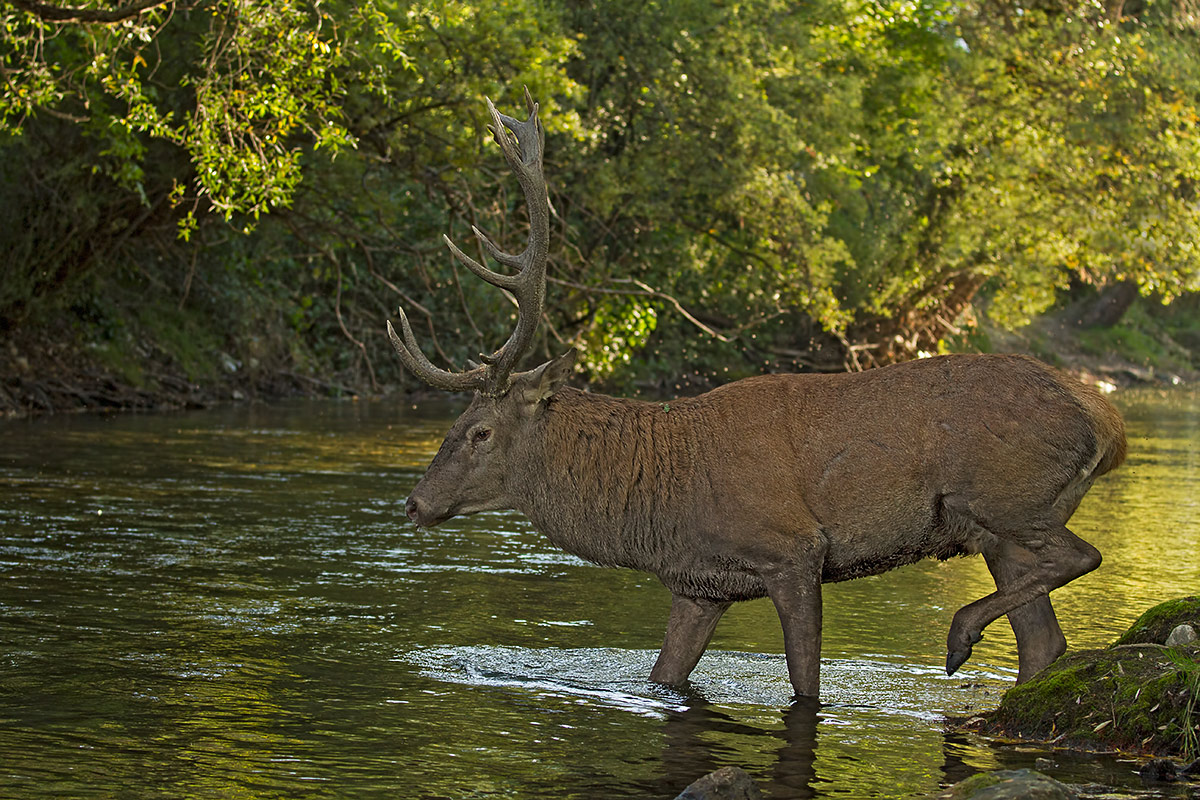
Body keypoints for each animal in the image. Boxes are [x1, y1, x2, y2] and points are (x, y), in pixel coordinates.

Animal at [386, 91, 1127, 701]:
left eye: (480, 430)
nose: (416, 503)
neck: (661, 501)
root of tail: (1106, 420)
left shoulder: (793, 551)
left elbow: (806, 685)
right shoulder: (700, 585)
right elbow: (664, 675)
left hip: (1007, 498)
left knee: (1081, 557)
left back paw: (959, 635)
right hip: (999, 533)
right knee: (1046, 644)